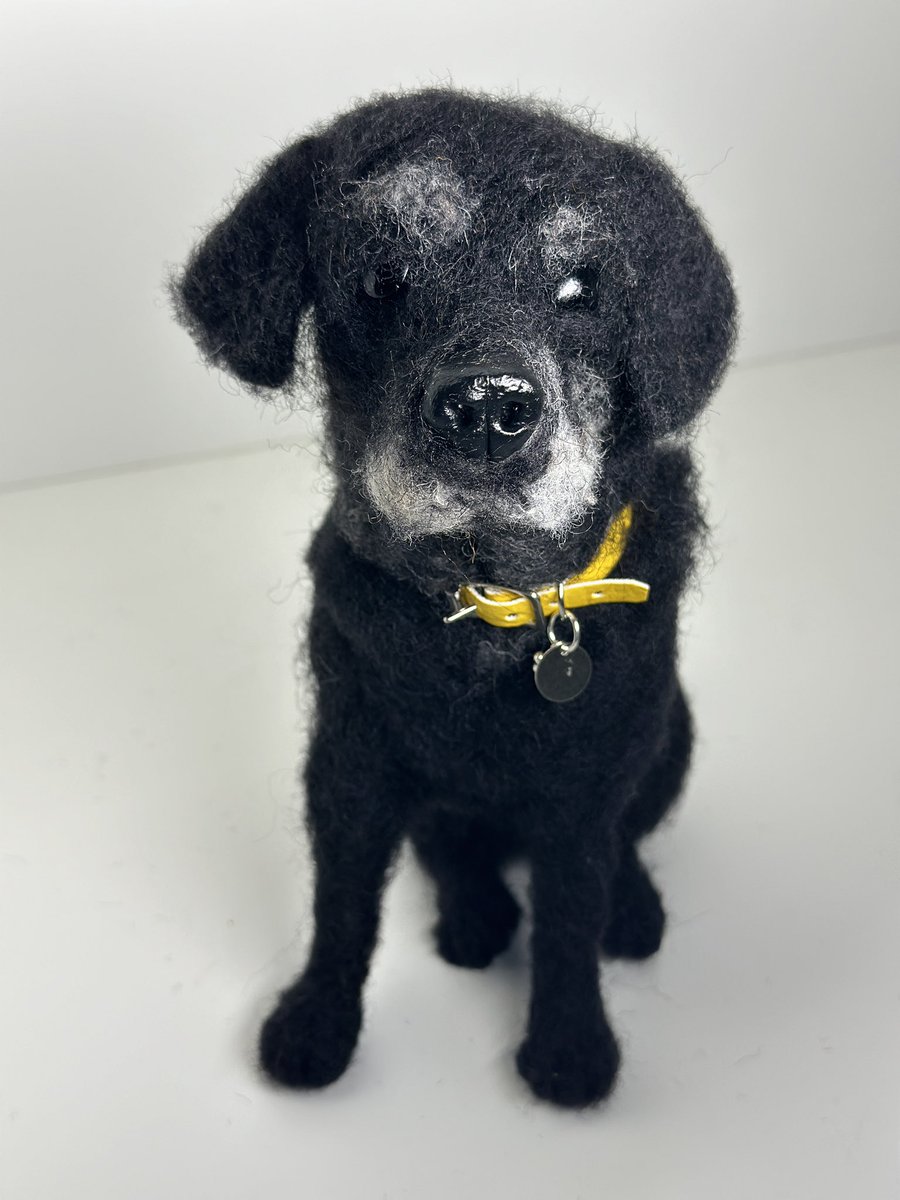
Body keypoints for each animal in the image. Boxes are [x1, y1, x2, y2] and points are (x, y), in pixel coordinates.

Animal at [172, 88, 734, 1108]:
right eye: (383, 278)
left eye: (583, 287)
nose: (486, 409)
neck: (495, 607)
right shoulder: (348, 769)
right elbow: (343, 909)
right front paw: (316, 1023)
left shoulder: (585, 786)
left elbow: (571, 913)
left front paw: (569, 1049)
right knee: (452, 850)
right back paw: (474, 918)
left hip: (670, 736)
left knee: (626, 844)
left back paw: (631, 910)